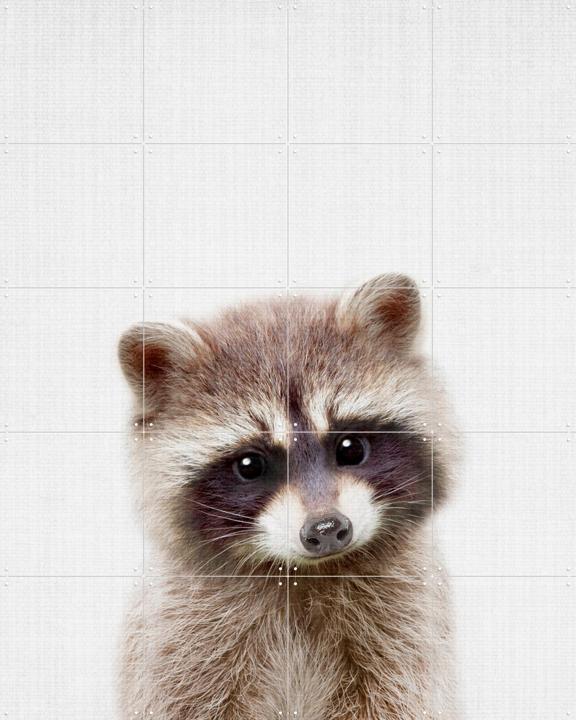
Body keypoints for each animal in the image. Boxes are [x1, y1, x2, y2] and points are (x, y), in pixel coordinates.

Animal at [118, 274, 458, 719]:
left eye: (350, 448)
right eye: (250, 465)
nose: (327, 528)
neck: (302, 571)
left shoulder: (407, 624)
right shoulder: (180, 638)